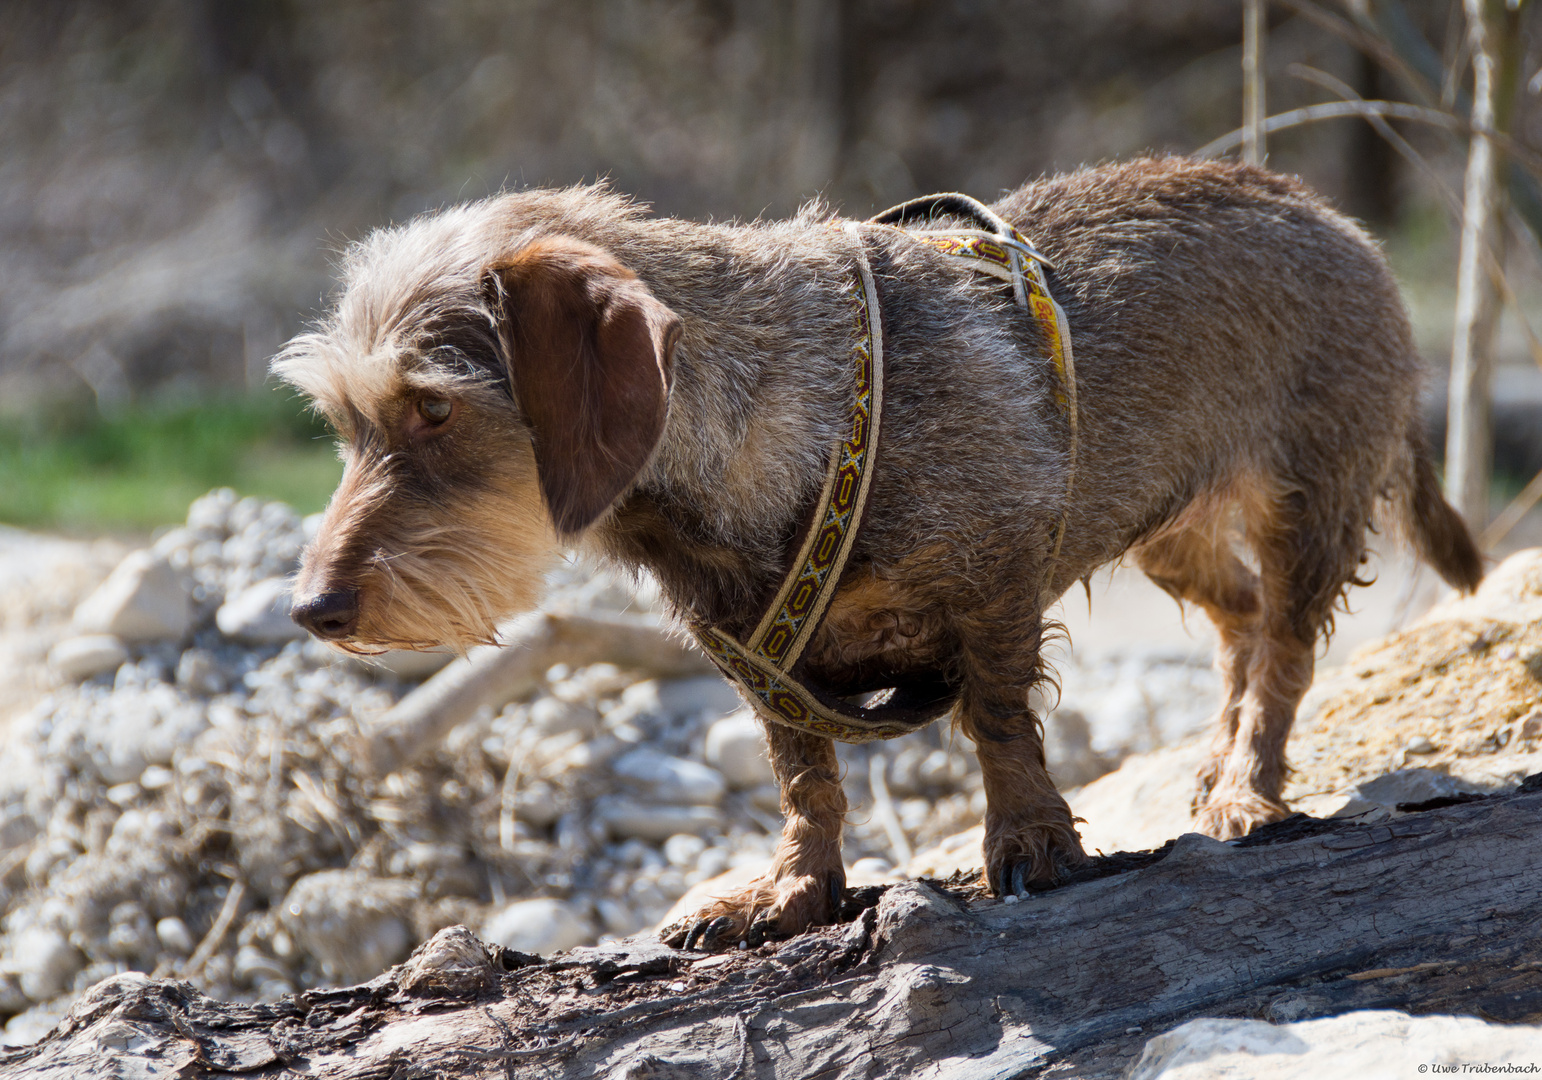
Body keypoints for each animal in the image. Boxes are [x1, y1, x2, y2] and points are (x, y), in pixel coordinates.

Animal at [277, 155, 1480, 950]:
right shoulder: (756, 661)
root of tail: (1327, 212)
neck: (801, 417)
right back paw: (1220, 758)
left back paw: (1247, 784)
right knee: (1240, 623)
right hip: (1169, 526)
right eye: (343, 424)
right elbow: (804, 777)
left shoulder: (997, 578)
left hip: (1306, 502)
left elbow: (998, 719)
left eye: (434, 410)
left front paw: (1031, 838)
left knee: (1284, 649)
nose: (313, 611)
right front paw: (793, 890)